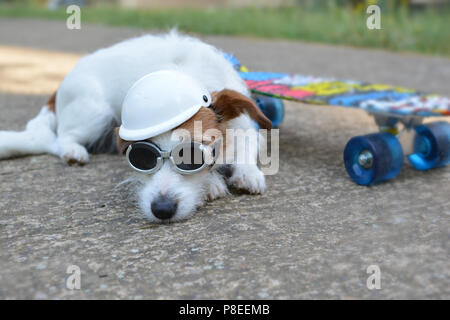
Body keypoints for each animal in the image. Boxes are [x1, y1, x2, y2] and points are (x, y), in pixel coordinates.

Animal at [0, 32, 270, 222]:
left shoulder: (246, 125)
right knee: (59, 139)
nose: (162, 209)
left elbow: (248, 144)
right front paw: (213, 182)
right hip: (94, 112)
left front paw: (247, 172)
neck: (186, 73)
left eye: (191, 155)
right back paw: (73, 152)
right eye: (141, 156)